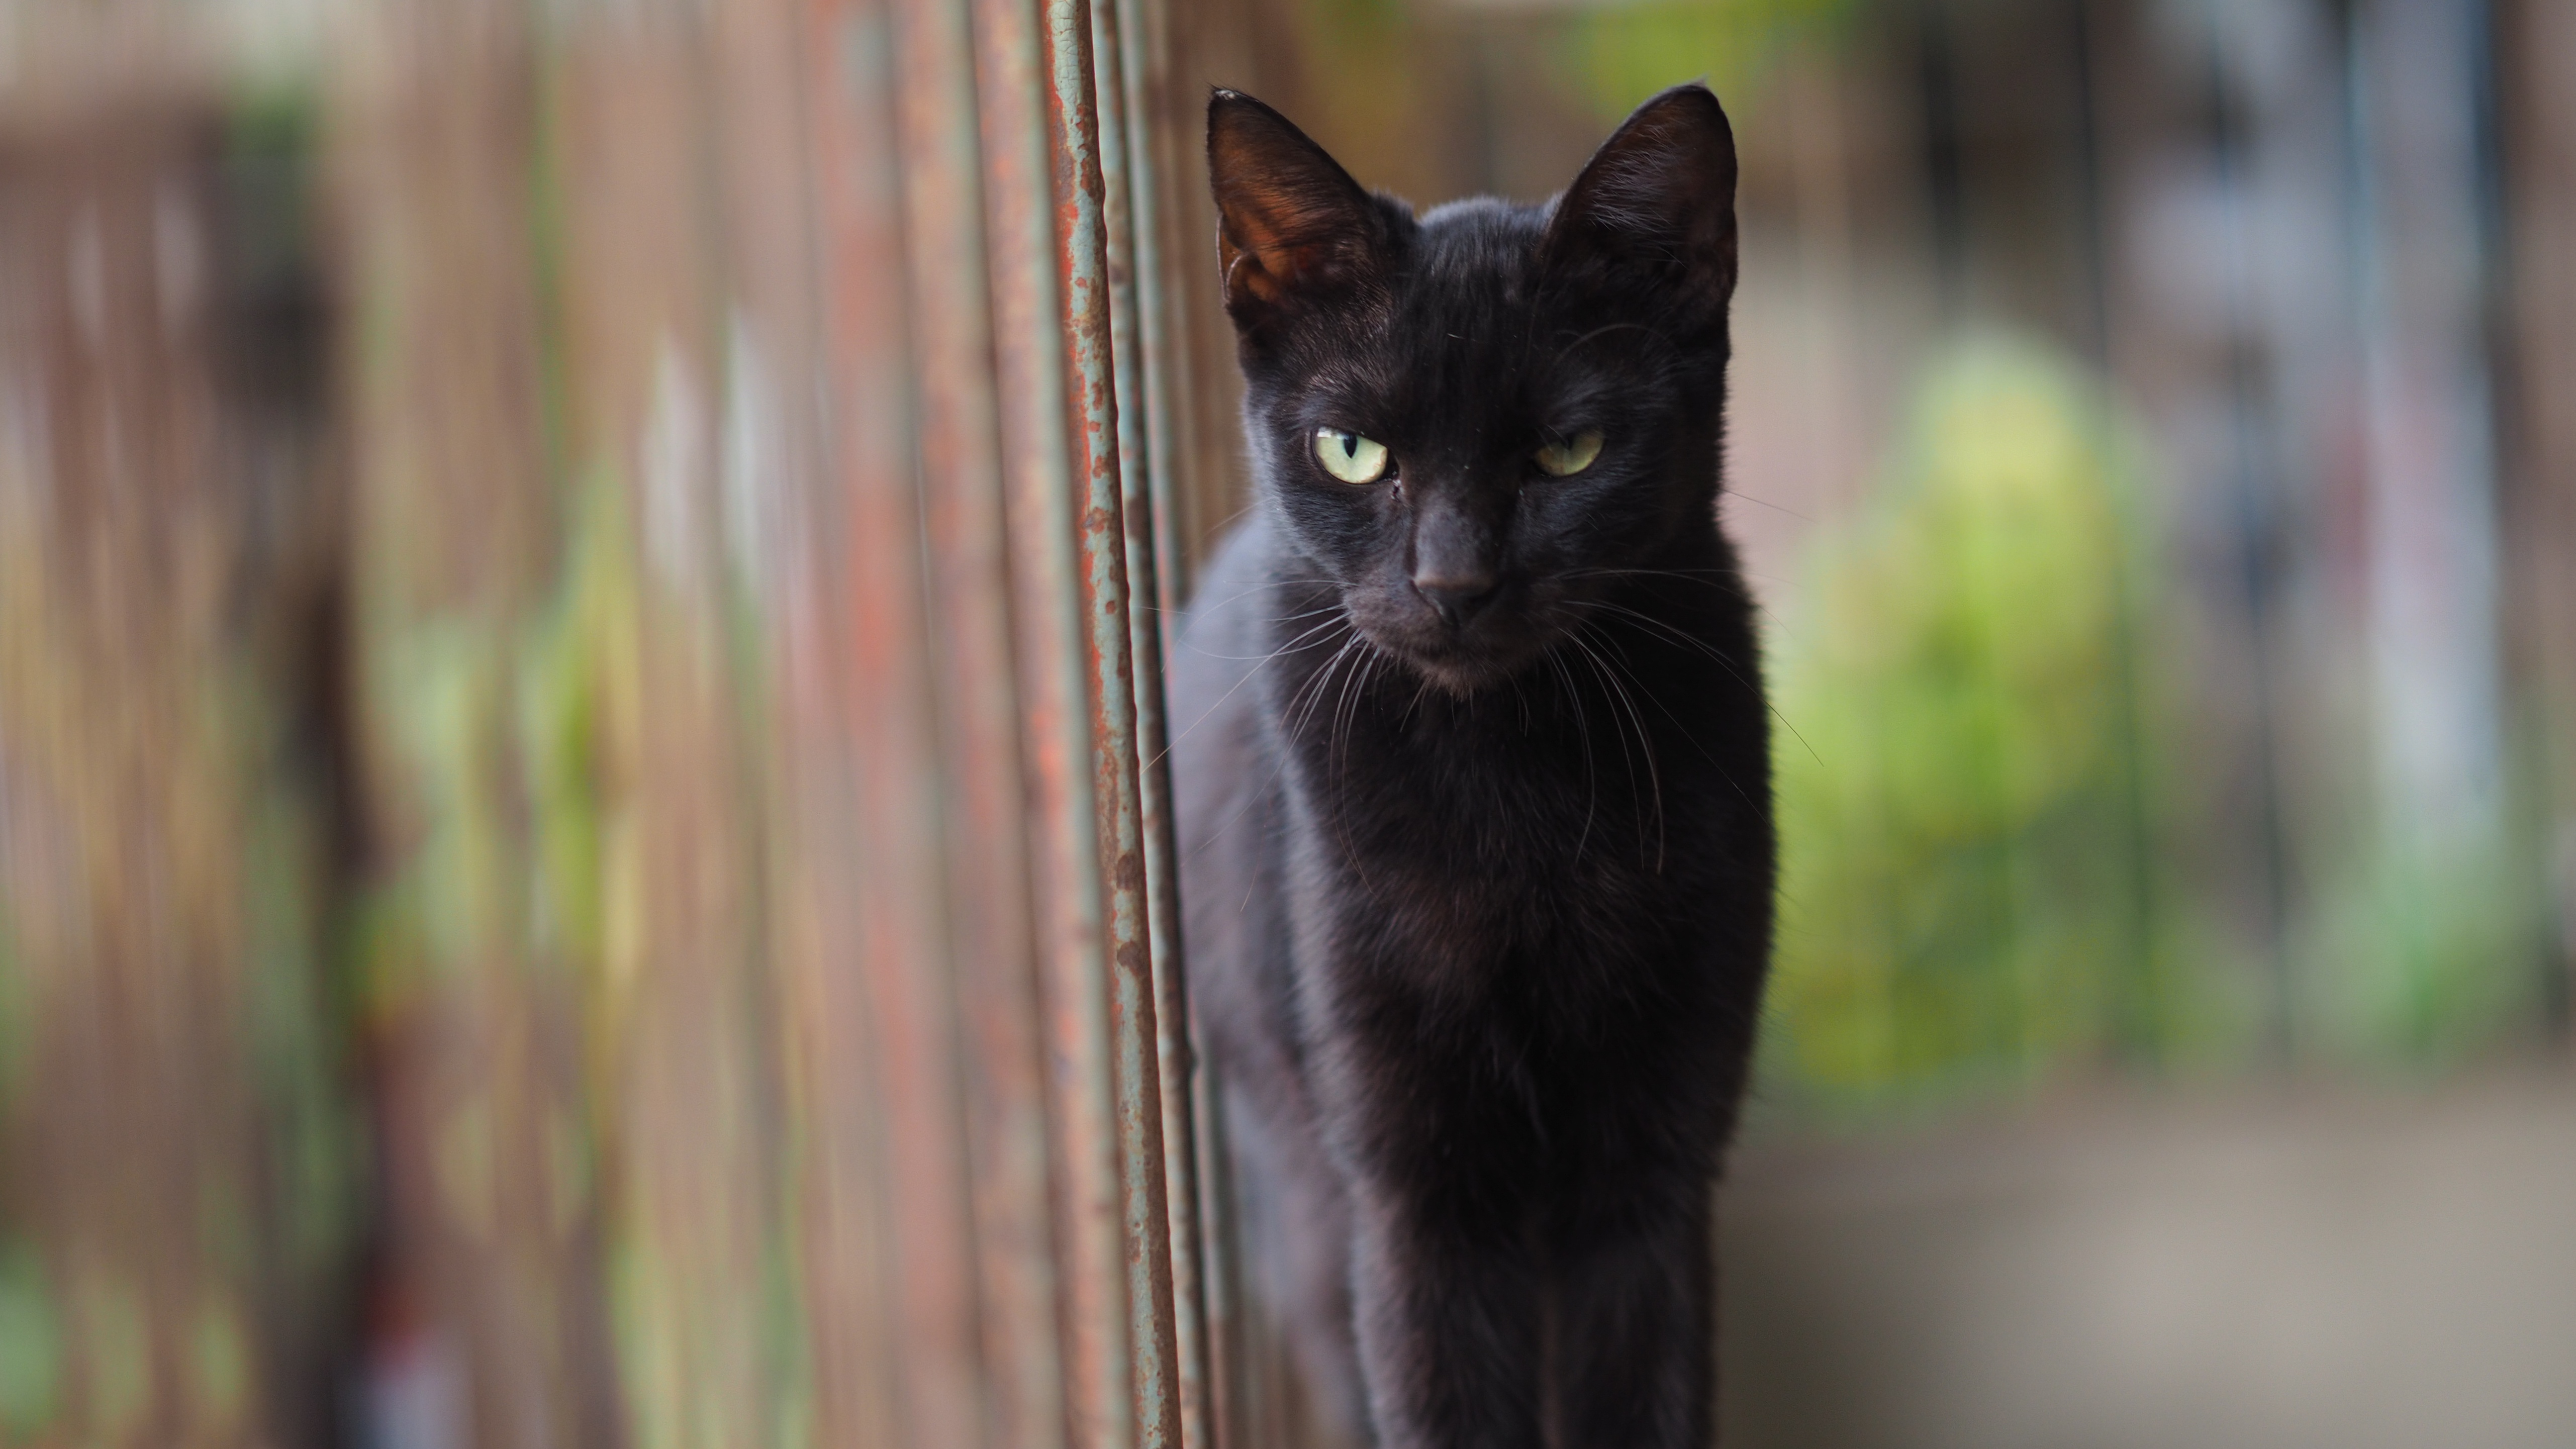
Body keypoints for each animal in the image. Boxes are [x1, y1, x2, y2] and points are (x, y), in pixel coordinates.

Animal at [1180, 84, 1782, 1441]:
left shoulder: (1658, 1158)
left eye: (1569, 450)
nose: (1453, 583)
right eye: (1353, 451)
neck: (1516, 796)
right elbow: (1436, 1394)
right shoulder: (1411, 1194)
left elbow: (1644, 1391)